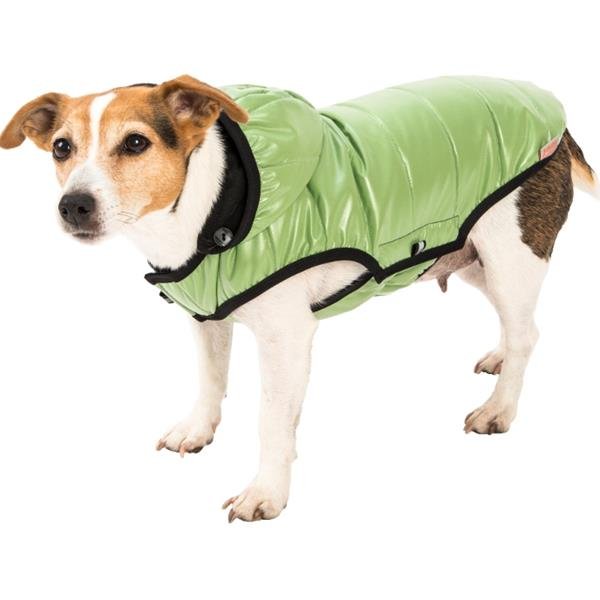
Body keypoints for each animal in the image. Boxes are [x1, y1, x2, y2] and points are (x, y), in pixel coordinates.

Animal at [1, 75, 597, 522]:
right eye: (61, 148)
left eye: (135, 143)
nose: (73, 205)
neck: (214, 212)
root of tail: (555, 117)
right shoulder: (208, 317)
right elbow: (210, 380)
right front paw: (198, 429)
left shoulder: (285, 338)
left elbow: (271, 418)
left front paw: (266, 492)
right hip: (470, 255)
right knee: (514, 324)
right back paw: (498, 359)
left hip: (510, 251)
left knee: (527, 331)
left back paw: (500, 407)